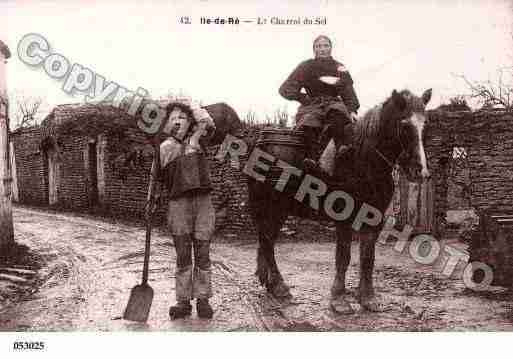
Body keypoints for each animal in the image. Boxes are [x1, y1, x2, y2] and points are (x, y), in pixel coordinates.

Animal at [246, 88, 430, 314]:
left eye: (425, 124)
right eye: (404, 126)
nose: (420, 171)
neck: (363, 159)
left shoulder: (374, 219)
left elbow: (367, 257)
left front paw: (367, 297)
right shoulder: (344, 218)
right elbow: (344, 257)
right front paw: (339, 299)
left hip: (278, 211)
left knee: (267, 242)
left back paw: (270, 283)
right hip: (269, 206)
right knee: (266, 242)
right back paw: (279, 286)